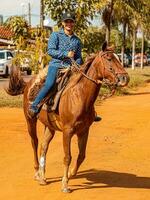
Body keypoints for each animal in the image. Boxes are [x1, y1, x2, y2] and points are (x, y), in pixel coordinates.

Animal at [6, 41, 129, 192]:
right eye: (109, 58)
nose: (125, 78)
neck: (79, 95)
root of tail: (28, 84)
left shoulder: (84, 131)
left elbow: (81, 155)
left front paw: (70, 174)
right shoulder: (67, 131)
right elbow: (67, 157)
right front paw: (65, 183)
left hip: (49, 126)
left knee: (43, 146)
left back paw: (42, 177)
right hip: (30, 120)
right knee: (34, 142)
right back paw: (37, 173)